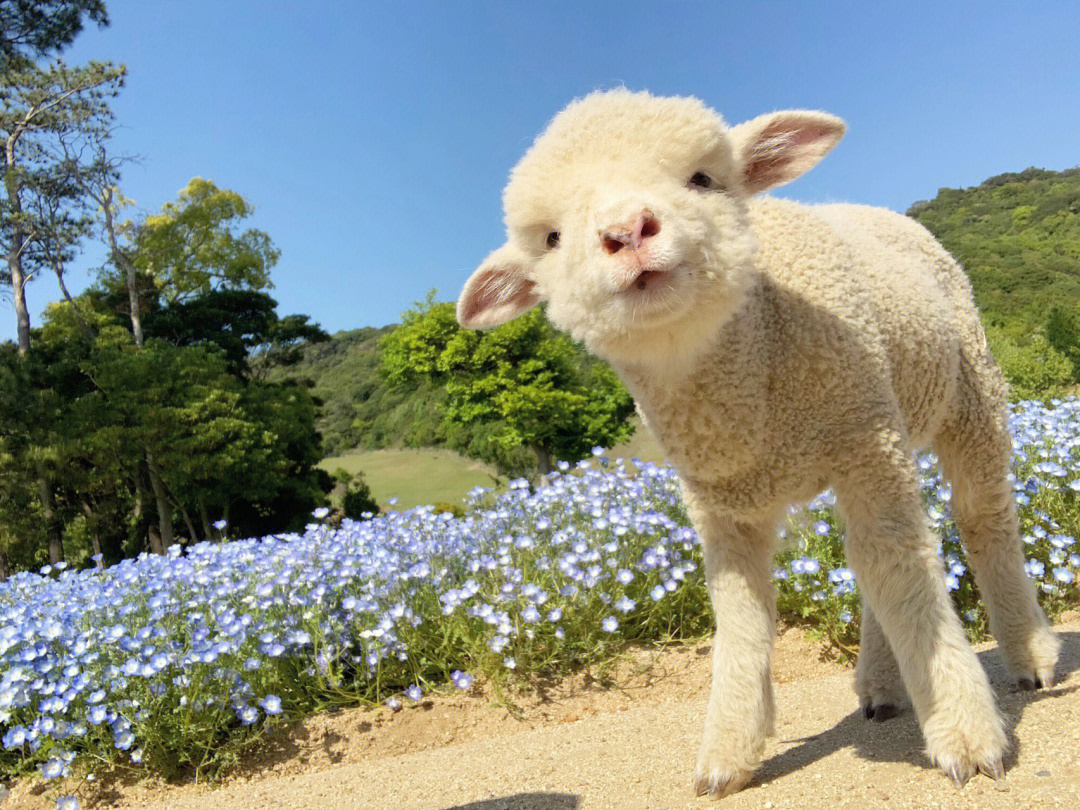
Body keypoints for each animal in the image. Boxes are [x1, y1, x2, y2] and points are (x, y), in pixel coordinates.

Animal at [453, 88, 1062, 799]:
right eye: (551, 239)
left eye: (703, 178)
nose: (627, 231)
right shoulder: (724, 505)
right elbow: (743, 616)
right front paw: (727, 755)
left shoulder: (863, 436)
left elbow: (905, 577)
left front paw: (964, 735)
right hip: (883, 425)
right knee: (871, 557)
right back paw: (882, 685)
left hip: (964, 395)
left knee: (976, 521)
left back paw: (1029, 654)